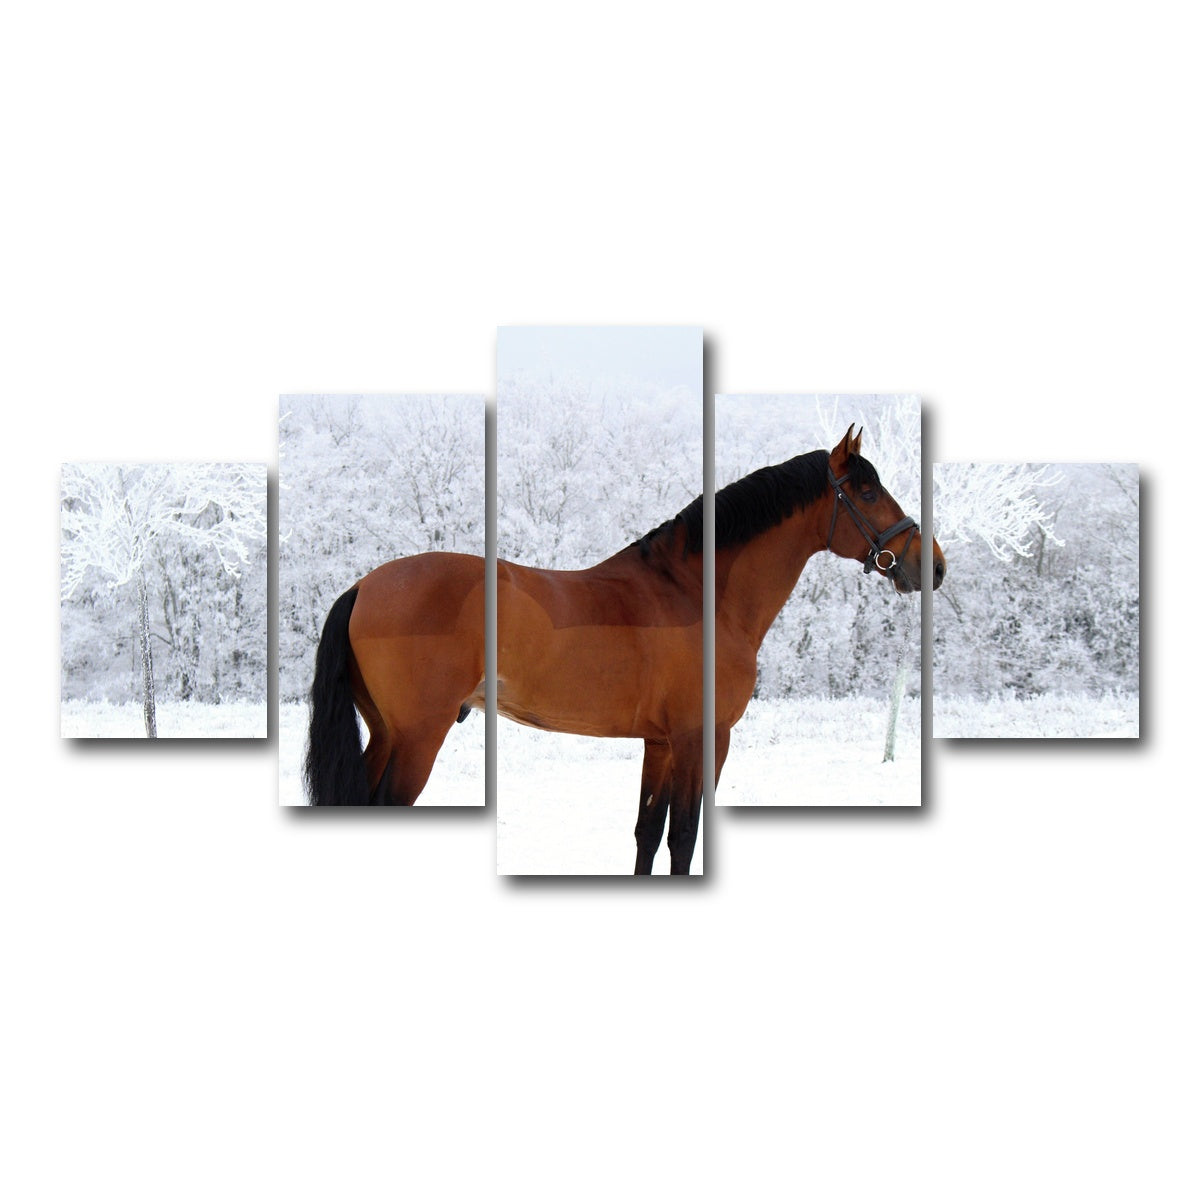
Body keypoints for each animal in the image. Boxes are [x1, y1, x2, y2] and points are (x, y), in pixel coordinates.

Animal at [303, 425, 945, 875]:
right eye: (868, 491)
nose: (931, 565)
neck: (695, 593)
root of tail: (364, 586)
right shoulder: (700, 738)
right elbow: (685, 836)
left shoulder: (659, 744)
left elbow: (649, 833)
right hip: (416, 737)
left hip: (385, 733)